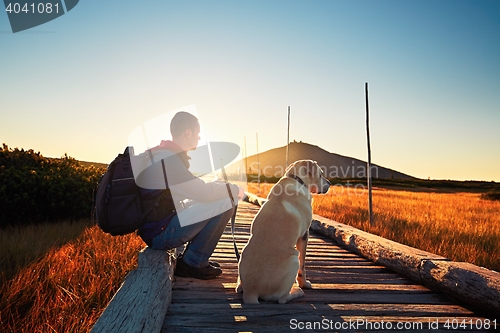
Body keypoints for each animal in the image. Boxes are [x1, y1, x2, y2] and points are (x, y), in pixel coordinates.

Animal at [235, 160, 330, 302]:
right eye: (321, 174)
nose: (329, 183)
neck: (296, 179)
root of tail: (251, 292)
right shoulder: (304, 235)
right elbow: (303, 266)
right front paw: (304, 283)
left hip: (243, 253)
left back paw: (240, 286)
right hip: (293, 259)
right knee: (282, 298)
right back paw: (297, 291)